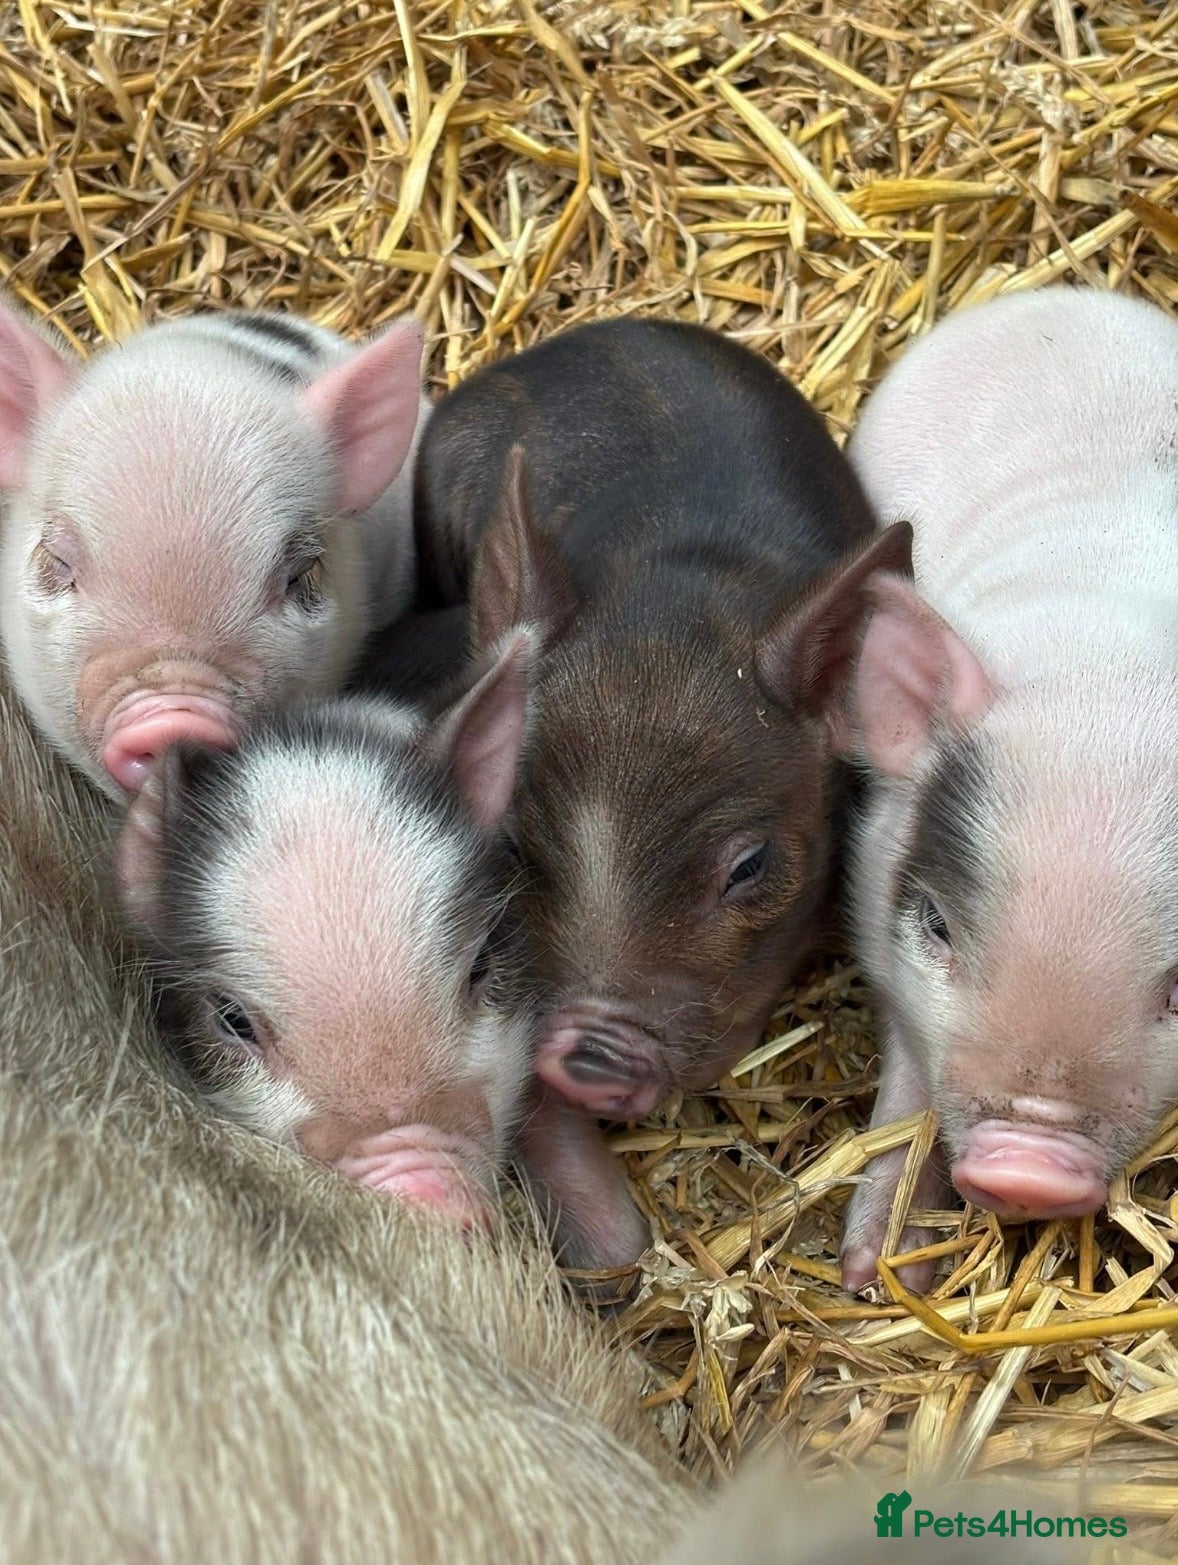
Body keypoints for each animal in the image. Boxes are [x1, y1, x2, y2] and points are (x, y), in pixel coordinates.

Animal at [839, 286, 1178, 1294]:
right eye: (937, 924)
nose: (1026, 1168)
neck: (1111, 668)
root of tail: (1058, 296)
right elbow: (906, 1085)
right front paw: (875, 1271)